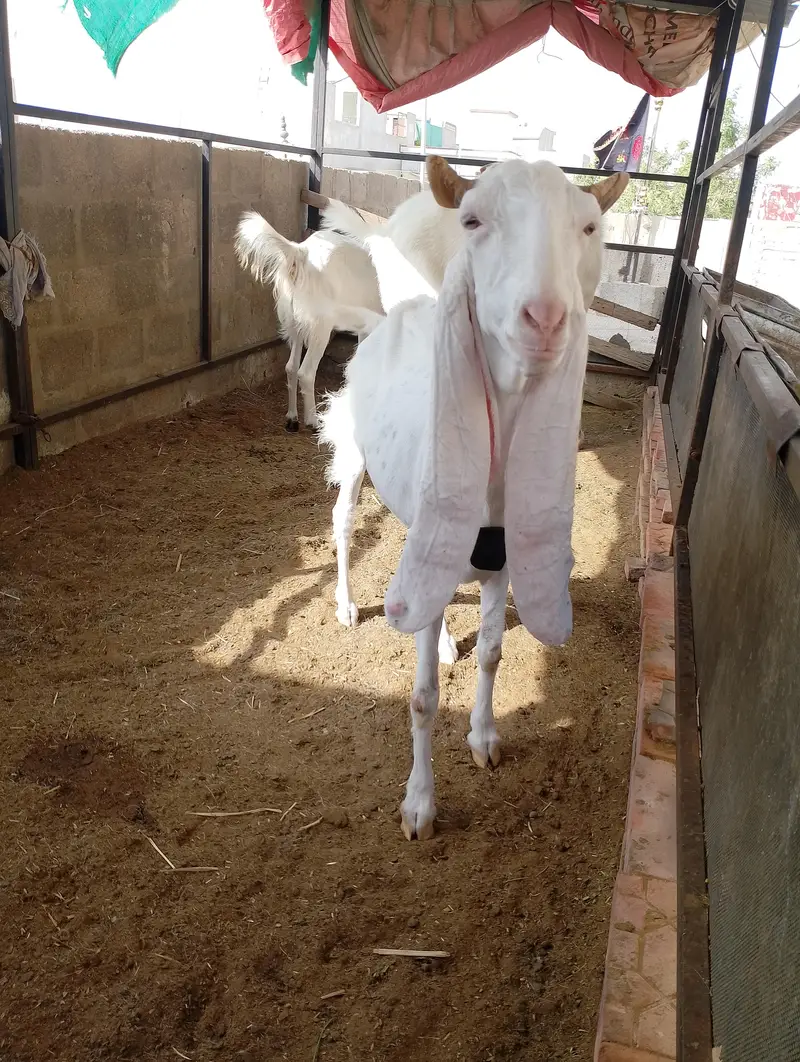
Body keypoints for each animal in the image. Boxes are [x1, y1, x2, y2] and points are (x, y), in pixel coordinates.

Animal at [235, 212, 383, 432]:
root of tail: (301, 253)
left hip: (295, 321)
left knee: (291, 367)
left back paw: (292, 419)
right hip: (320, 325)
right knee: (306, 372)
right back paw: (313, 421)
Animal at [319, 157, 628, 840]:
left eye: (589, 226)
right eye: (472, 220)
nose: (545, 318)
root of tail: (393, 317)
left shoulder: (503, 561)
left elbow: (492, 653)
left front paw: (485, 737)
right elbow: (421, 698)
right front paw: (419, 805)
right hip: (355, 451)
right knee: (345, 519)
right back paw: (348, 604)